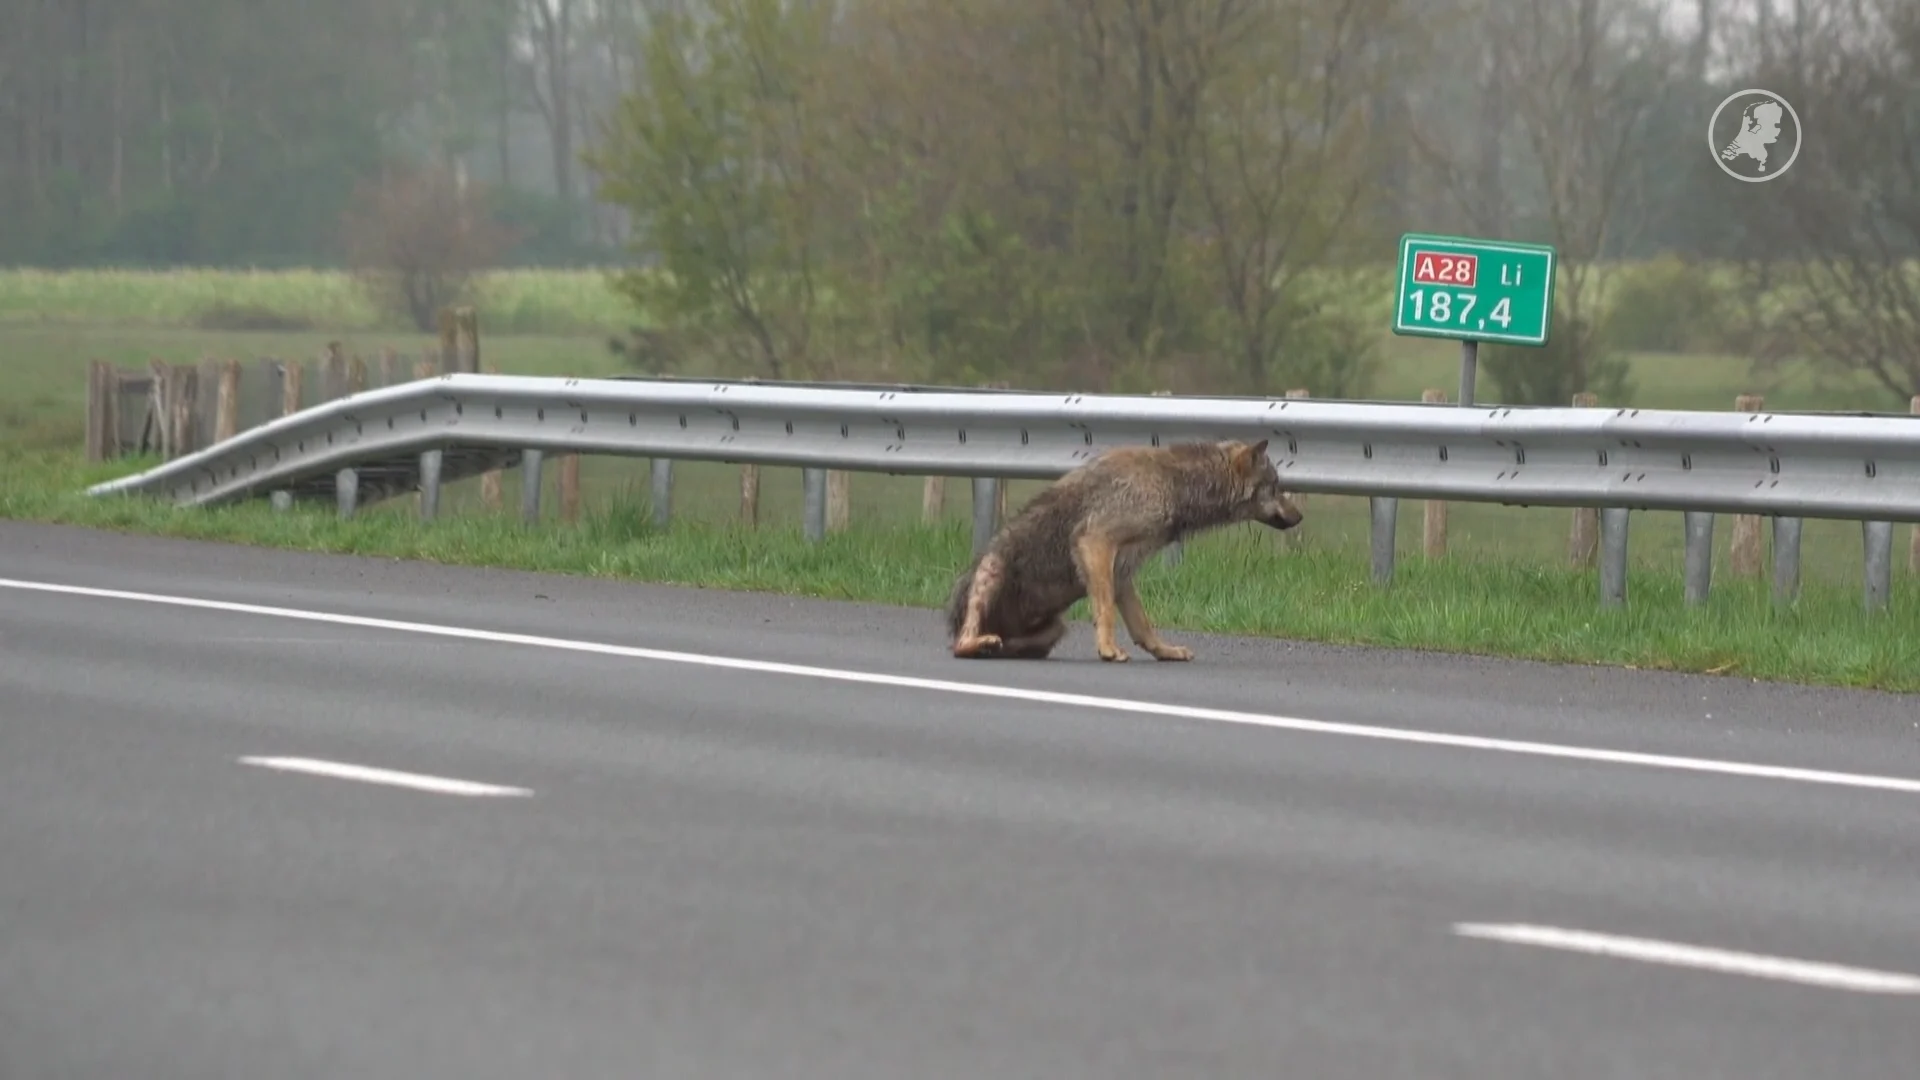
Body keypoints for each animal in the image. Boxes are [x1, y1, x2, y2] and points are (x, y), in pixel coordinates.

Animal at [944, 438, 1304, 662]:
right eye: (1275, 486)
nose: (1300, 517)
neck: (1173, 484)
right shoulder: (1095, 542)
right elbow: (1104, 610)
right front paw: (1108, 649)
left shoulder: (1122, 572)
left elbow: (1143, 625)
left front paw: (1166, 651)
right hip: (991, 570)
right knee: (960, 645)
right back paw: (978, 643)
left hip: (1056, 629)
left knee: (1005, 645)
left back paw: (994, 646)